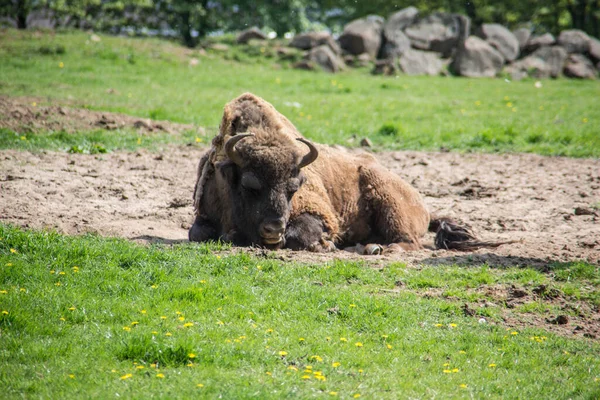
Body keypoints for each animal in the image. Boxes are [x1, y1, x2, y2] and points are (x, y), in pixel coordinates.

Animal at [190, 92, 508, 255]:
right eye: (249, 185)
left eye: (294, 187)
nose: (273, 228)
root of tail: (424, 206)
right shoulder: (204, 214)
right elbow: (199, 233)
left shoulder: (320, 214)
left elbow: (301, 234)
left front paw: (324, 244)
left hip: (390, 204)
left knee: (409, 241)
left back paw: (375, 249)